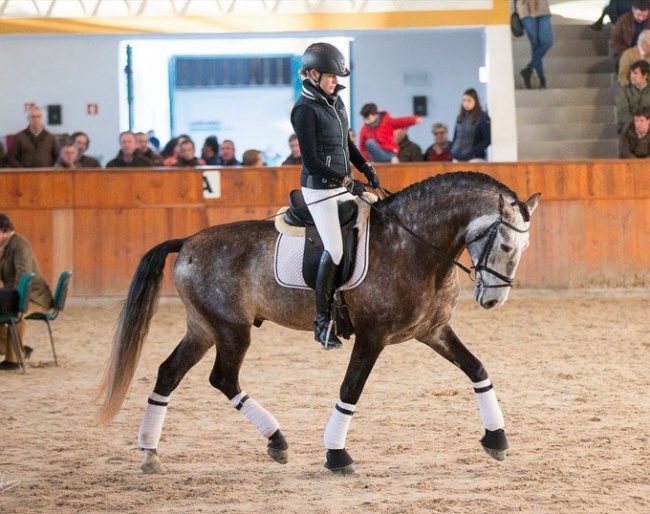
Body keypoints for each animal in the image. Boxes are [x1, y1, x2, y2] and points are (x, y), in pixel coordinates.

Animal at [96, 171, 540, 472]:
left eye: (524, 247)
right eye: (504, 245)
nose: (493, 300)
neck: (412, 245)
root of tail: (188, 241)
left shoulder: (432, 331)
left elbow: (476, 369)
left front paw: (497, 437)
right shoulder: (372, 336)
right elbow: (350, 389)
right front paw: (337, 454)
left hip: (202, 328)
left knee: (169, 373)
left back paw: (150, 450)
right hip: (230, 330)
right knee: (223, 379)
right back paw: (275, 439)